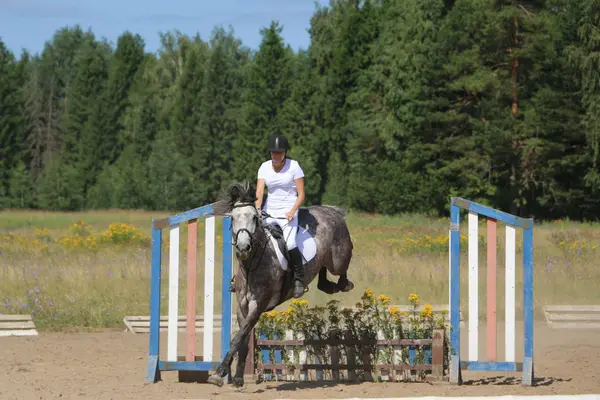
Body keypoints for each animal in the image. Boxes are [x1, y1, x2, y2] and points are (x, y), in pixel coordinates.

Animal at [207, 181, 354, 388]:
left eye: (254, 217)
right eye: (233, 218)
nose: (243, 248)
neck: (251, 264)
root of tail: (330, 210)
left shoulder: (258, 305)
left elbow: (238, 337)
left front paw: (220, 372)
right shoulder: (242, 307)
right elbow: (242, 339)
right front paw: (237, 378)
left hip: (338, 258)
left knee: (343, 265)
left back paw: (344, 284)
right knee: (323, 273)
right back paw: (328, 286)